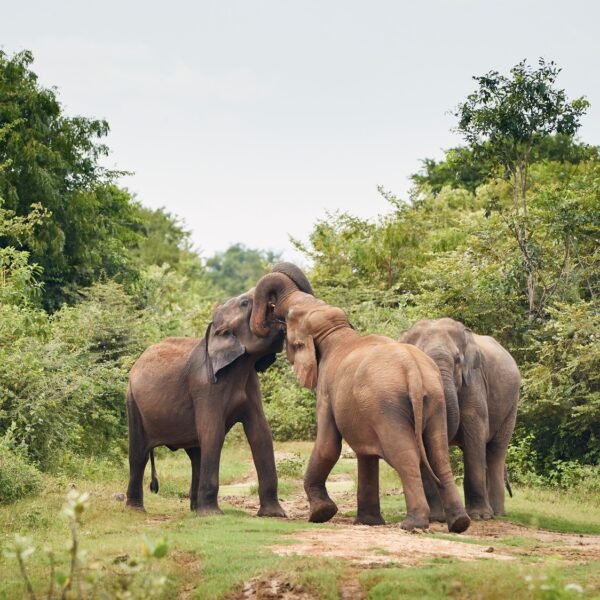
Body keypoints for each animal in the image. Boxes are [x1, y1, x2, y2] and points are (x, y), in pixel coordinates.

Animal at [126, 262, 314, 516]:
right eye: (245, 303)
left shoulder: (250, 384)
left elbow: (261, 433)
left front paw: (274, 515)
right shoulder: (205, 387)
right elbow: (213, 433)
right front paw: (214, 515)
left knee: (196, 454)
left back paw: (195, 510)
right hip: (132, 401)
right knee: (139, 454)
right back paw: (137, 510)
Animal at [251, 274, 472, 532]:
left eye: (288, 317)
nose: (272, 314)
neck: (336, 331)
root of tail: (413, 371)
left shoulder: (326, 392)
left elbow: (328, 446)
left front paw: (321, 514)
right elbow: (366, 454)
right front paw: (368, 522)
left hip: (388, 407)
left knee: (405, 456)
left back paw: (412, 524)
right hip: (434, 400)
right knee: (439, 454)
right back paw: (459, 523)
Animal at [400, 318, 524, 520]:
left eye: (458, 360)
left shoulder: (473, 382)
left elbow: (474, 433)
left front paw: (479, 516)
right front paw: (436, 518)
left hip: (511, 405)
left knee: (495, 451)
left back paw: (496, 513)